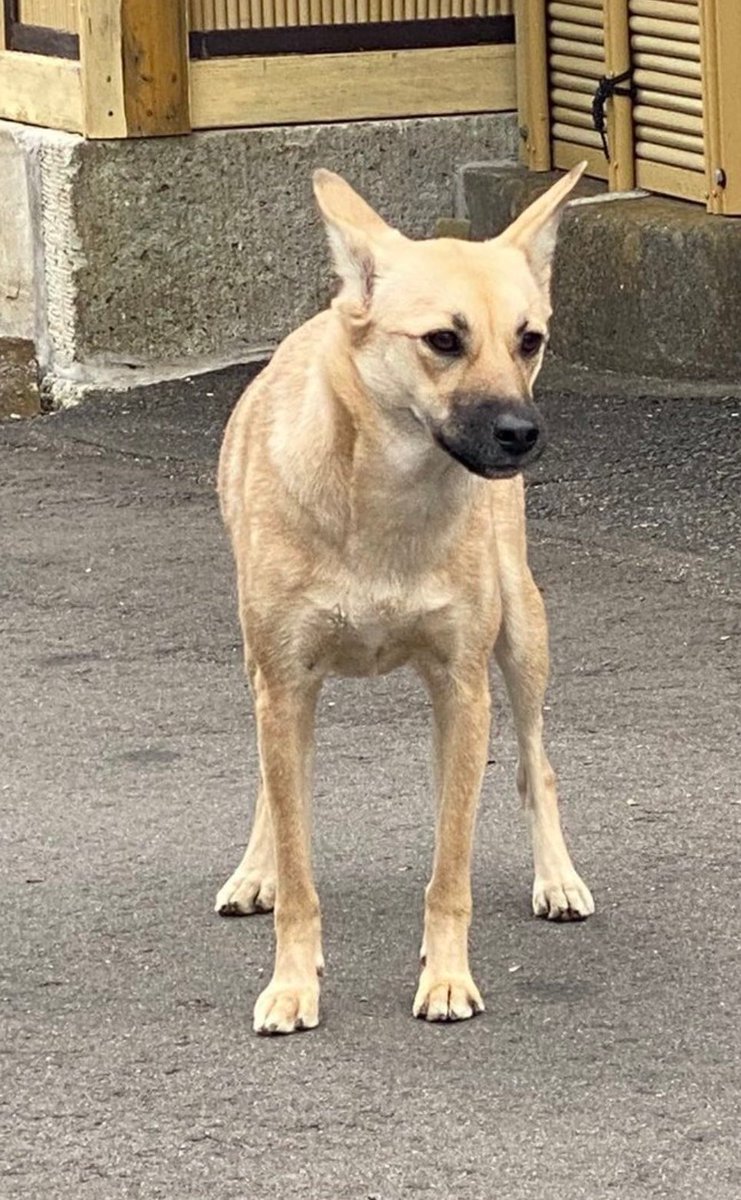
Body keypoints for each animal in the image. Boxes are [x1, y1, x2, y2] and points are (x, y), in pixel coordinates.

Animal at [214, 164, 594, 1036]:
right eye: (443, 341)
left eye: (529, 339)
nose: (522, 433)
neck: (385, 503)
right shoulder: (284, 686)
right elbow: (296, 850)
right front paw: (292, 981)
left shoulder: (461, 685)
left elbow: (451, 863)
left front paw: (447, 976)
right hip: (259, 667)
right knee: (274, 783)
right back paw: (257, 869)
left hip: (521, 641)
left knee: (535, 766)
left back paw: (555, 876)